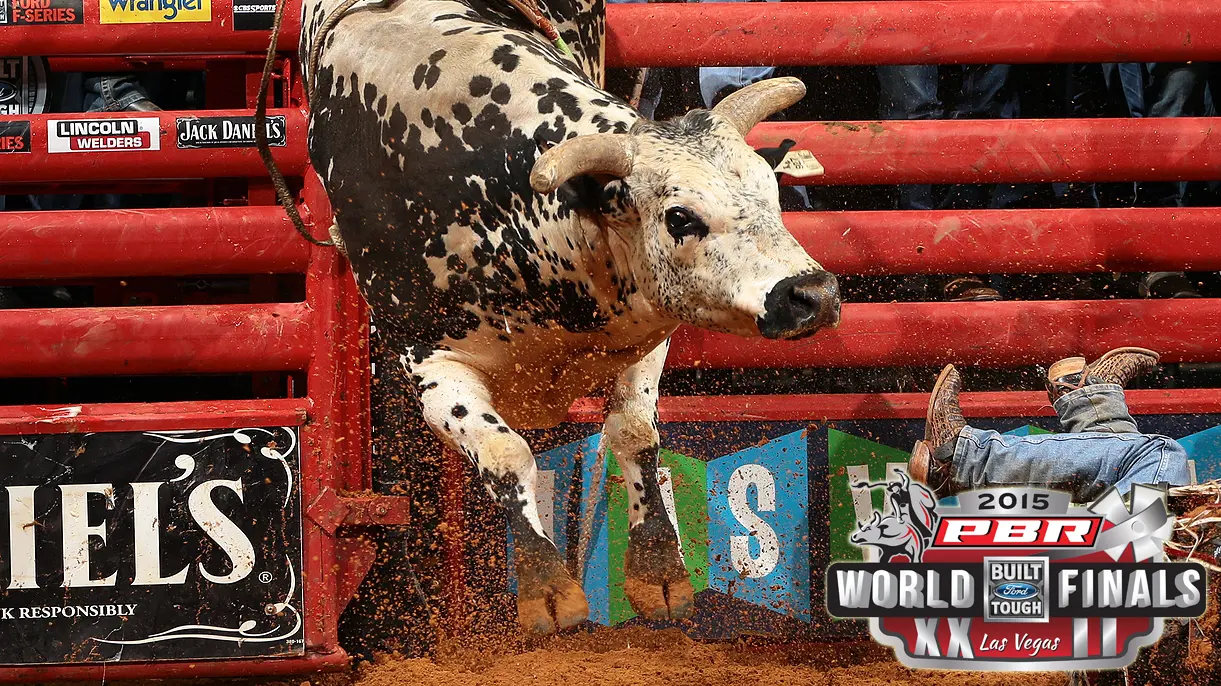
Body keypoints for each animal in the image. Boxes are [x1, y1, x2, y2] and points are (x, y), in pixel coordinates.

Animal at [301, 0, 841, 632]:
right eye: (680, 216)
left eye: (772, 192)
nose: (812, 293)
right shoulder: (428, 359)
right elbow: (505, 454)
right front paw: (547, 588)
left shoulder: (645, 324)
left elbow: (634, 432)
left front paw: (659, 571)